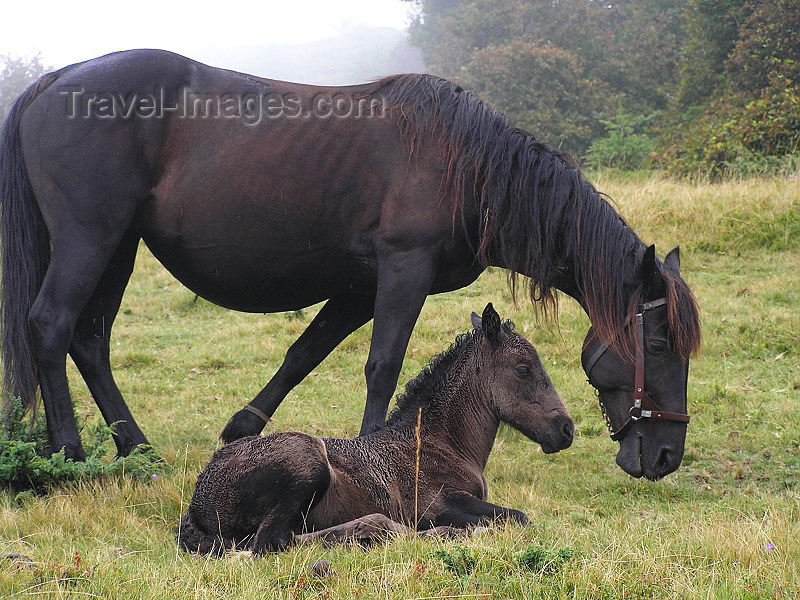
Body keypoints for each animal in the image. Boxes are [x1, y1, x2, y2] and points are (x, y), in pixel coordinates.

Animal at [0, 48, 700, 478]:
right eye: (657, 344)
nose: (667, 454)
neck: (464, 165)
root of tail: (53, 81)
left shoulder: (361, 286)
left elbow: (305, 353)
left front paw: (242, 428)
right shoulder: (403, 271)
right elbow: (382, 366)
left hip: (118, 247)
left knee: (90, 340)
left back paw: (137, 450)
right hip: (90, 239)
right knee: (51, 326)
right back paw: (71, 453)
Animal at [178, 308, 572, 556]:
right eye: (523, 369)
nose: (565, 429)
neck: (436, 442)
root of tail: (197, 502)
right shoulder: (438, 503)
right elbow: (519, 518)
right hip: (307, 462)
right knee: (272, 541)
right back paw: (384, 528)